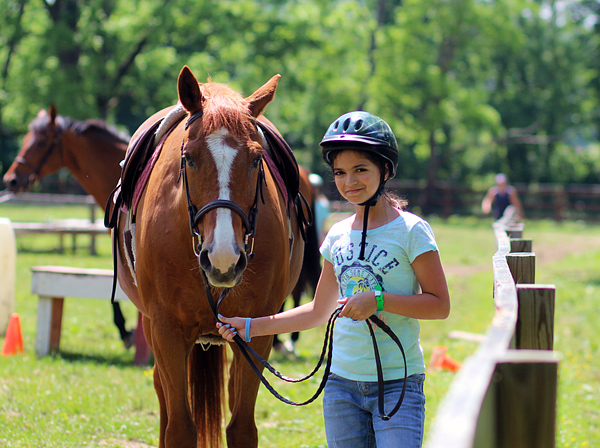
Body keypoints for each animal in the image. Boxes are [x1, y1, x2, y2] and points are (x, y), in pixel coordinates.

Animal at [109, 67, 310, 448]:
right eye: (189, 157)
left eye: (257, 159)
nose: (223, 259)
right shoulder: (166, 330)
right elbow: (178, 429)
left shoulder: (256, 331)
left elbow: (242, 427)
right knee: (163, 393)